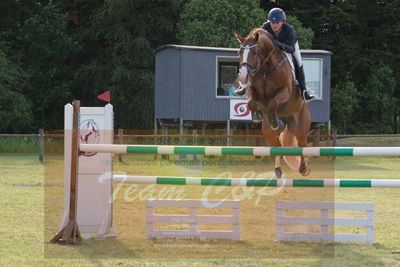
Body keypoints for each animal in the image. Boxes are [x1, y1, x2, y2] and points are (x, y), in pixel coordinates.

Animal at [236, 28, 310, 178]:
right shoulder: (252, 90)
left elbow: (272, 104)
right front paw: (257, 116)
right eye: (239, 52)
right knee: (277, 147)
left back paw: (303, 169)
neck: (266, 68)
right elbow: (252, 103)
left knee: (302, 144)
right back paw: (278, 170)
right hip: (267, 132)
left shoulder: (285, 91)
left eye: (255, 52)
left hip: (300, 126)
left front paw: (276, 122)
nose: (242, 77)